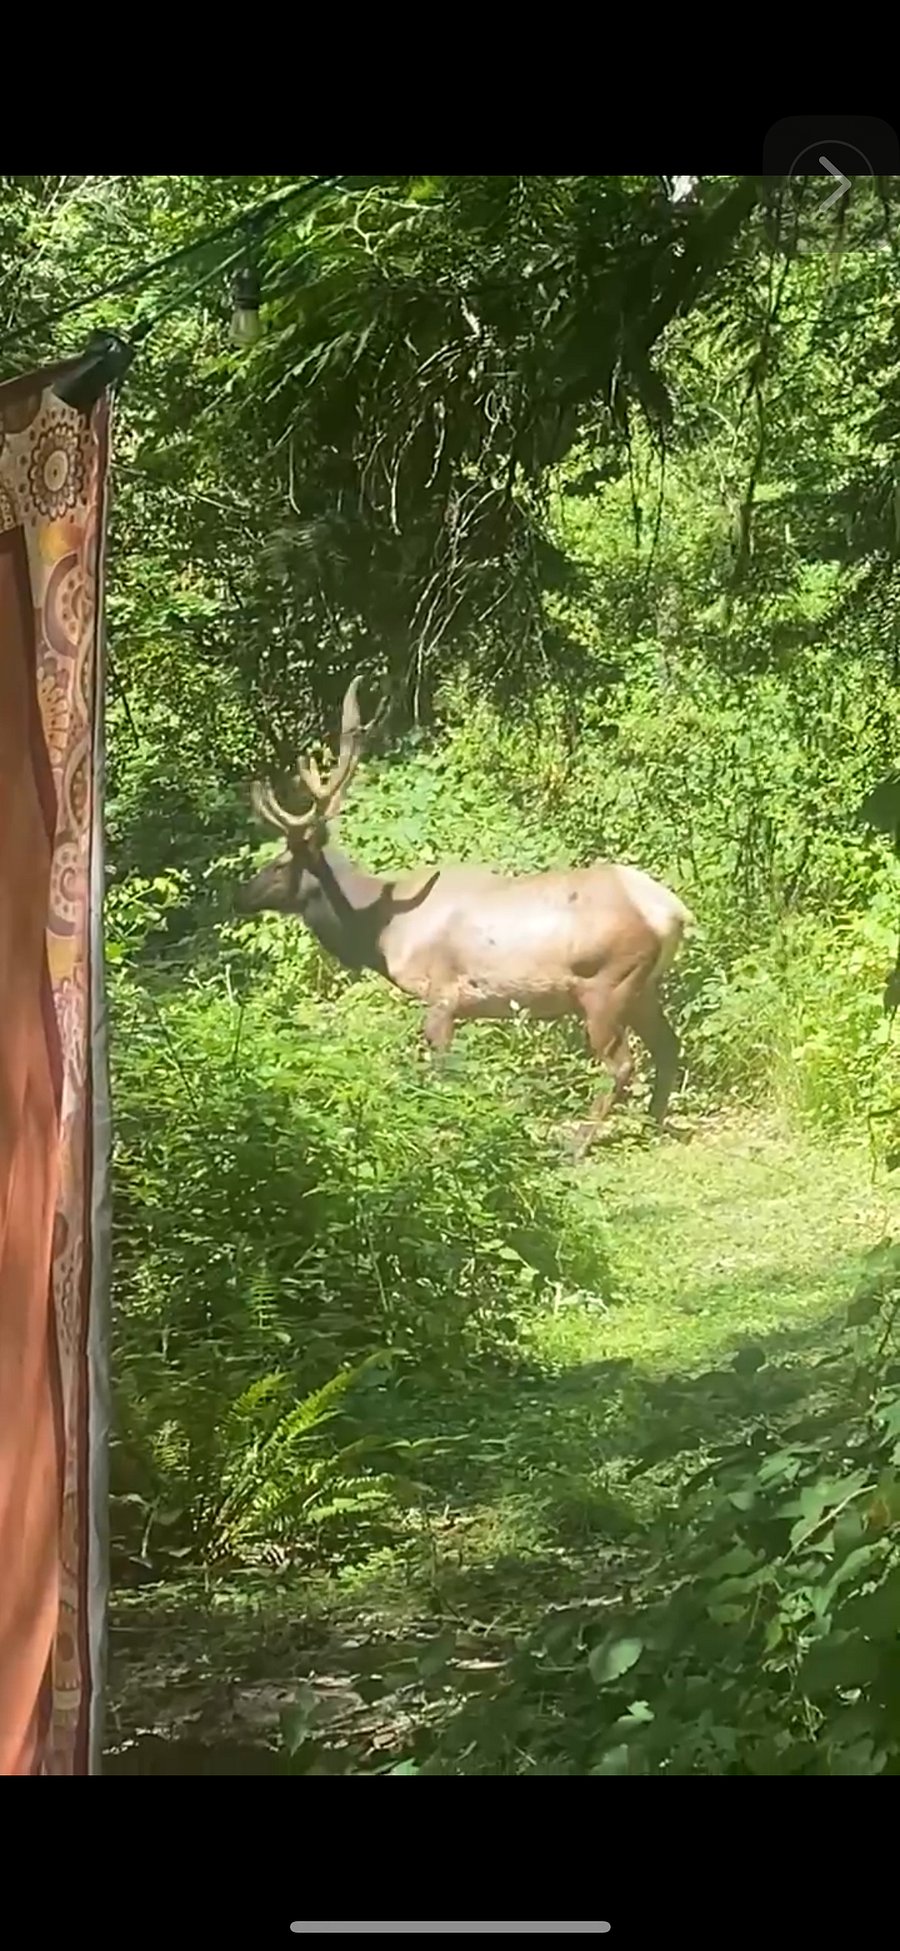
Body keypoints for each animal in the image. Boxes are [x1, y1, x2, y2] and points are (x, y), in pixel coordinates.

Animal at [235, 676, 694, 1155]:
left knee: (621, 1064)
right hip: (642, 989)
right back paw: (653, 1125)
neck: (380, 932)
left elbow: (440, 1072)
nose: (240, 896)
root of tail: (672, 912)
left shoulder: (441, 993)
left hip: (606, 985)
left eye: (280, 863)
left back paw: (577, 1146)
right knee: (668, 1047)